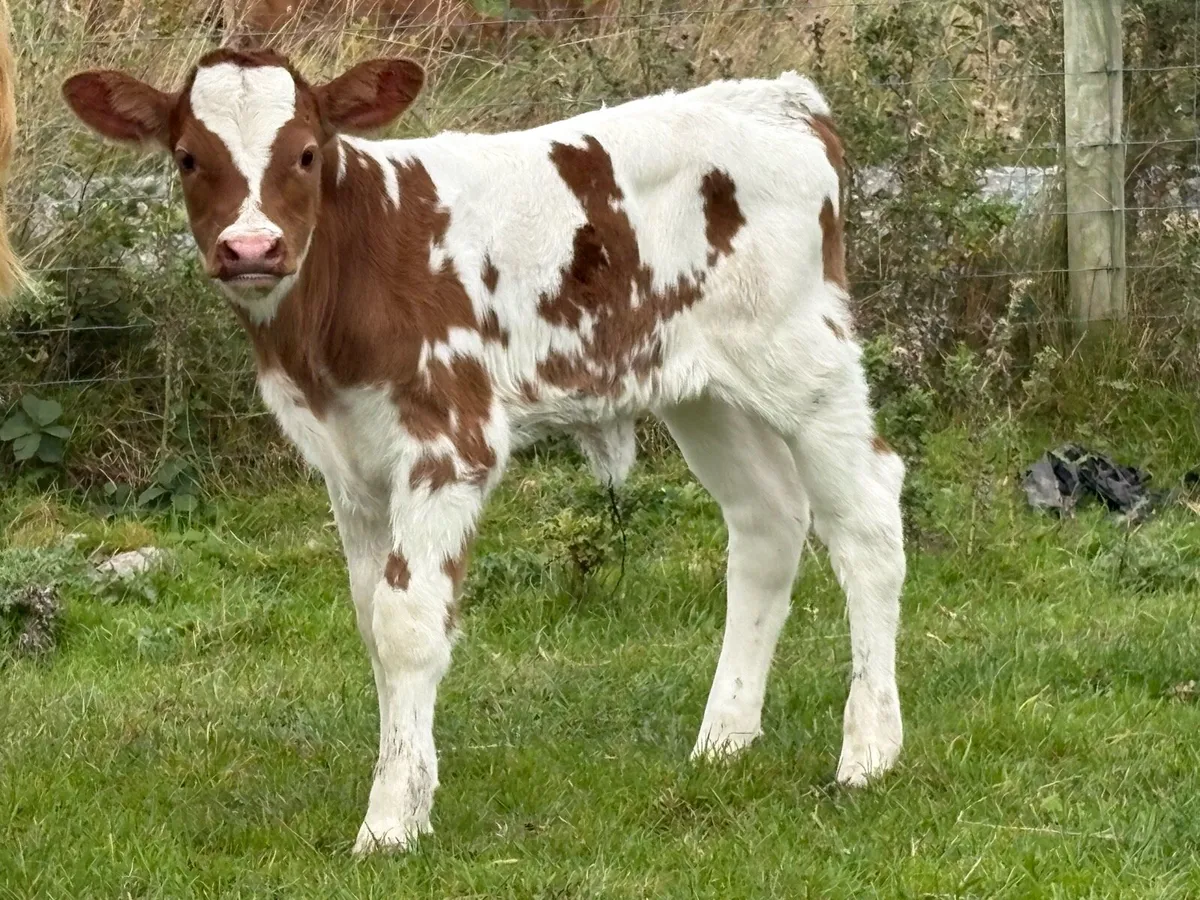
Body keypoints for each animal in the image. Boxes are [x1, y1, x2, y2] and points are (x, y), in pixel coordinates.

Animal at [61, 47, 907, 853]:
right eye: (186, 157)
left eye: (304, 152)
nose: (251, 247)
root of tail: (784, 99)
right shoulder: (349, 467)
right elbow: (374, 621)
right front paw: (413, 789)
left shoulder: (448, 441)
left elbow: (407, 624)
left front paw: (389, 822)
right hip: (699, 387)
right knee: (768, 520)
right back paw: (724, 740)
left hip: (804, 357)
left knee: (867, 518)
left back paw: (869, 752)